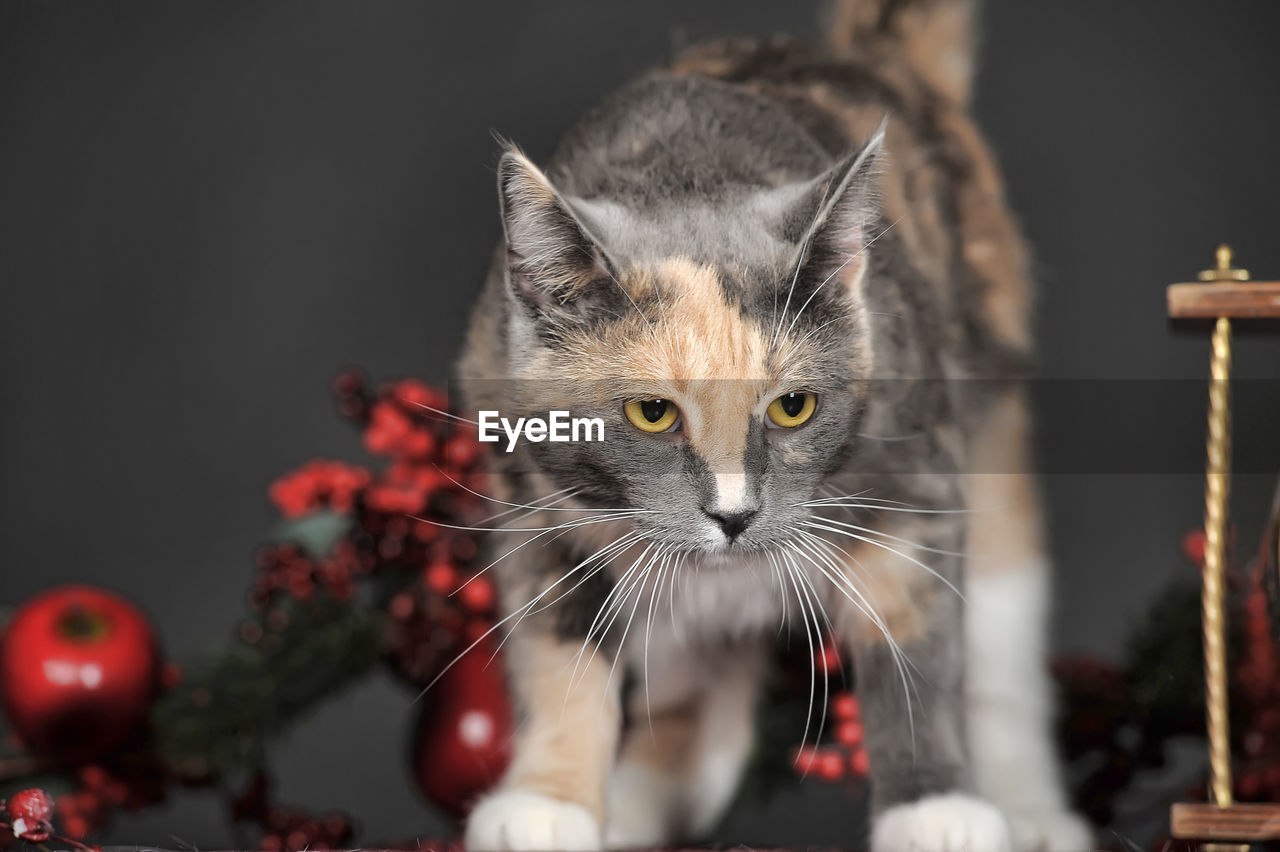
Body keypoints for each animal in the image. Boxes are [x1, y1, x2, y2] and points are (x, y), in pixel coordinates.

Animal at [455, 1, 1085, 849]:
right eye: (652, 412)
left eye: (793, 407)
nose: (734, 514)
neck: (688, 169)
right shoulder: (533, 499)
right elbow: (559, 649)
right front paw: (548, 803)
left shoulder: (912, 474)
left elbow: (913, 636)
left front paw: (933, 809)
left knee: (1001, 637)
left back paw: (1031, 814)